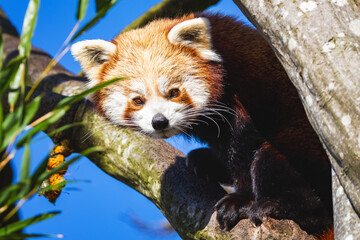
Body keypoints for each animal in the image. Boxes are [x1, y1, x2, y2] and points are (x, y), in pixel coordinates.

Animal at [71, 13, 334, 236]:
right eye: (138, 100)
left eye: (174, 92)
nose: (159, 121)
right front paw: (212, 162)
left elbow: (245, 148)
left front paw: (241, 199)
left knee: (272, 158)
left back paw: (279, 206)